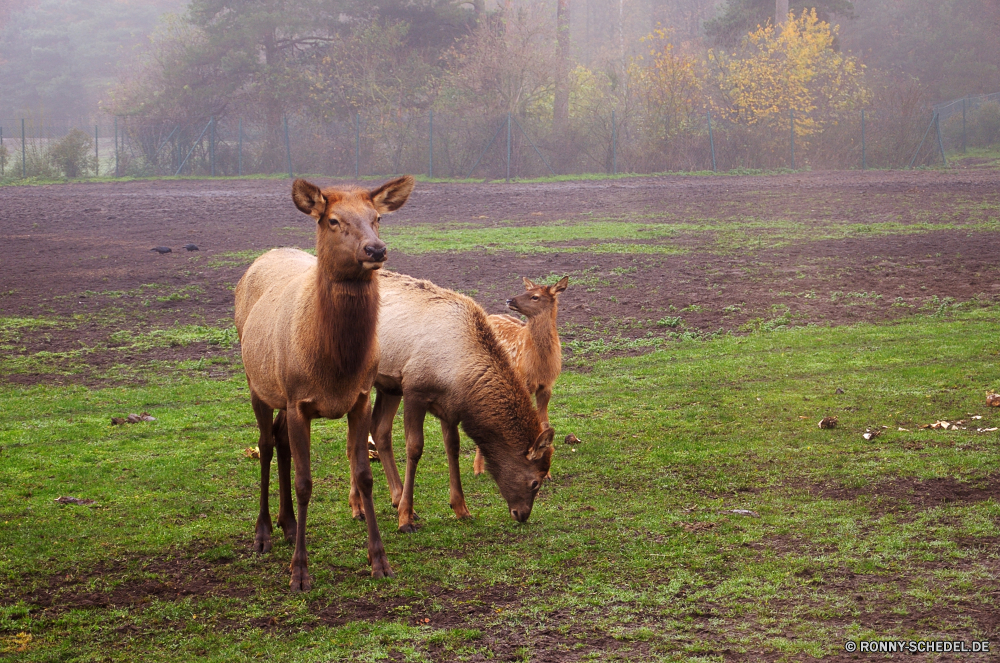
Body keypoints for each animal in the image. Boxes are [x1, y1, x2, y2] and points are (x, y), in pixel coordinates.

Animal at [234, 175, 414, 592]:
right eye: (333, 220)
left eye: (377, 217)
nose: (376, 249)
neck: (334, 367)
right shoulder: (299, 399)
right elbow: (305, 482)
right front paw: (300, 572)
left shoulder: (360, 396)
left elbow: (364, 475)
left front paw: (380, 561)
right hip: (258, 383)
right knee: (265, 444)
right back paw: (264, 533)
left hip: (281, 396)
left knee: (280, 440)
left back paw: (287, 525)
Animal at [366, 272, 556, 536]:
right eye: (535, 481)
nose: (521, 514)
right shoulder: (414, 389)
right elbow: (414, 448)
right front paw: (405, 519)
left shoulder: (449, 407)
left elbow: (453, 448)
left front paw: (461, 508)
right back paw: (362, 509)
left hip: (388, 385)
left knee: (380, 429)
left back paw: (394, 498)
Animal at [478, 278, 572, 474]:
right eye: (525, 290)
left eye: (535, 296)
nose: (509, 300)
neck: (540, 365)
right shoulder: (524, 383)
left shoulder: (546, 386)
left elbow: (544, 424)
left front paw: (548, 472)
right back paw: (478, 469)